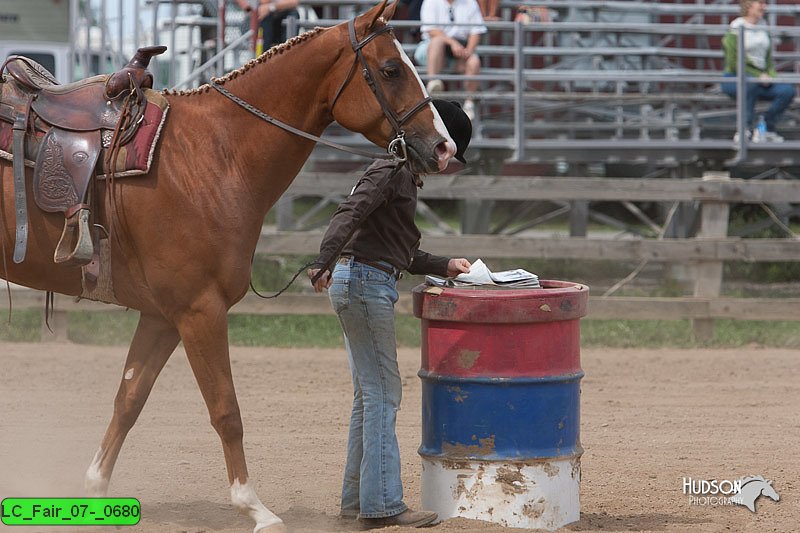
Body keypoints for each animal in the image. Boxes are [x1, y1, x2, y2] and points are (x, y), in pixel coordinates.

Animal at [0, 2, 454, 528]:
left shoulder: (162, 316)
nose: (443, 147)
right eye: (390, 69)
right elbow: (226, 410)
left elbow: (129, 399)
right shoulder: (201, 311)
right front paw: (254, 507)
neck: (213, 155)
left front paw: (94, 489)